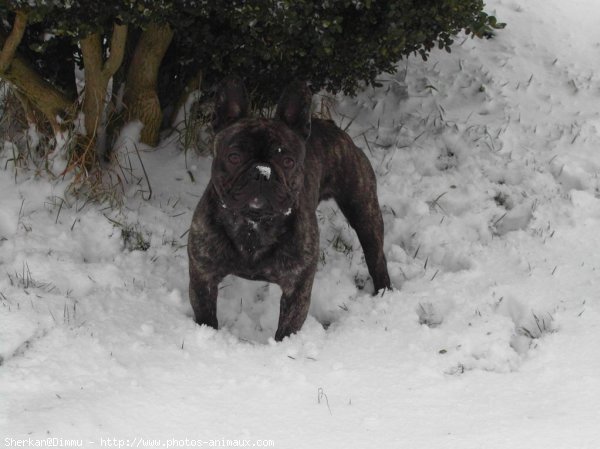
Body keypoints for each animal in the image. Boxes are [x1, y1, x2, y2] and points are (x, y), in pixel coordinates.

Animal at [189, 78, 394, 340]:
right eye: (234, 157)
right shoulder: (202, 276)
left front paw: (283, 345)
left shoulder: (297, 287)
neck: (253, 223)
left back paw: (384, 293)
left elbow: (287, 326)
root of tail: (330, 125)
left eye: (287, 162)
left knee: (375, 256)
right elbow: (206, 314)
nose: (261, 172)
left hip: (364, 211)